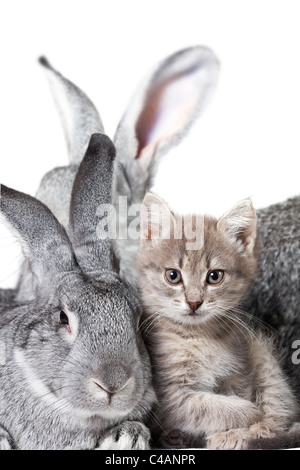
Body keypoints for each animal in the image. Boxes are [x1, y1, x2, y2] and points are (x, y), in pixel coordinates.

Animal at [137, 193, 298, 450]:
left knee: (281, 405)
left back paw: (264, 430)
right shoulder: (169, 397)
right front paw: (247, 416)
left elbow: (234, 399)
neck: (200, 336)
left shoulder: (238, 372)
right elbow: (209, 406)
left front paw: (240, 432)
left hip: (263, 355)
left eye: (215, 276)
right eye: (173, 276)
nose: (194, 303)